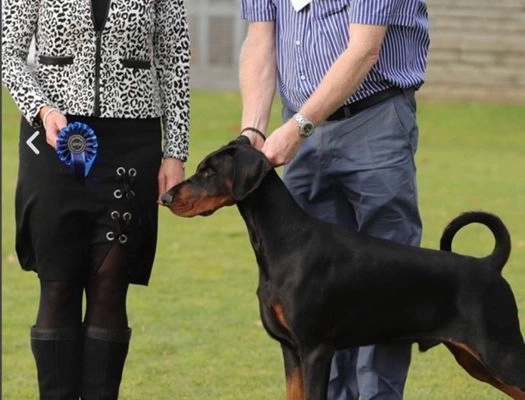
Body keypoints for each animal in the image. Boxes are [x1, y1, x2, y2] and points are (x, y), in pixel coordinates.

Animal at [163, 136, 524, 398]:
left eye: (209, 171)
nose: (165, 197)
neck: (285, 243)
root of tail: (489, 265)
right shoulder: (290, 350)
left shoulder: (316, 350)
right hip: (474, 359)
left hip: (500, 352)